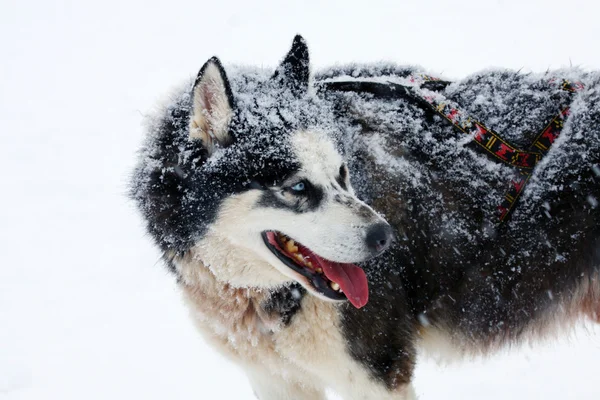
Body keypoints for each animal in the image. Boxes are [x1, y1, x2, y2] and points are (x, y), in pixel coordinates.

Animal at [132, 36, 600, 398]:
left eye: (341, 172)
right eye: (298, 188)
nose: (384, 237)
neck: (268, 297)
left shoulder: (378, 375)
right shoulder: (276, 379)